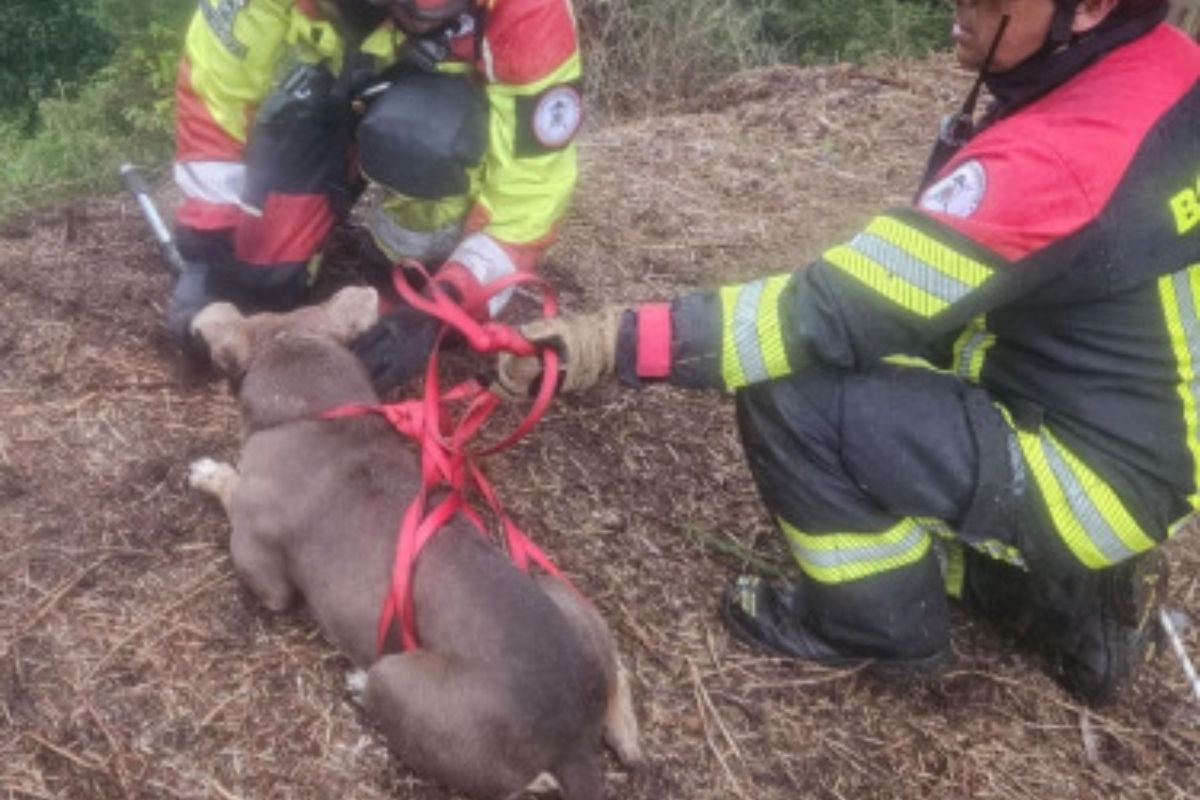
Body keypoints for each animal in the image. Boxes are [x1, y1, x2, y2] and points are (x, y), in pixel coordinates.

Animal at [186, 286, 642, 800]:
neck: (315, 413)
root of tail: (571, 742)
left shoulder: (263, 572)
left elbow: (233, 488)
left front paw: (210, 472)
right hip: (554, 589)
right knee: (617, 673)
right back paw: (626, 737)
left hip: (403, 679)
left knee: (523, 781)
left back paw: (361, 684)